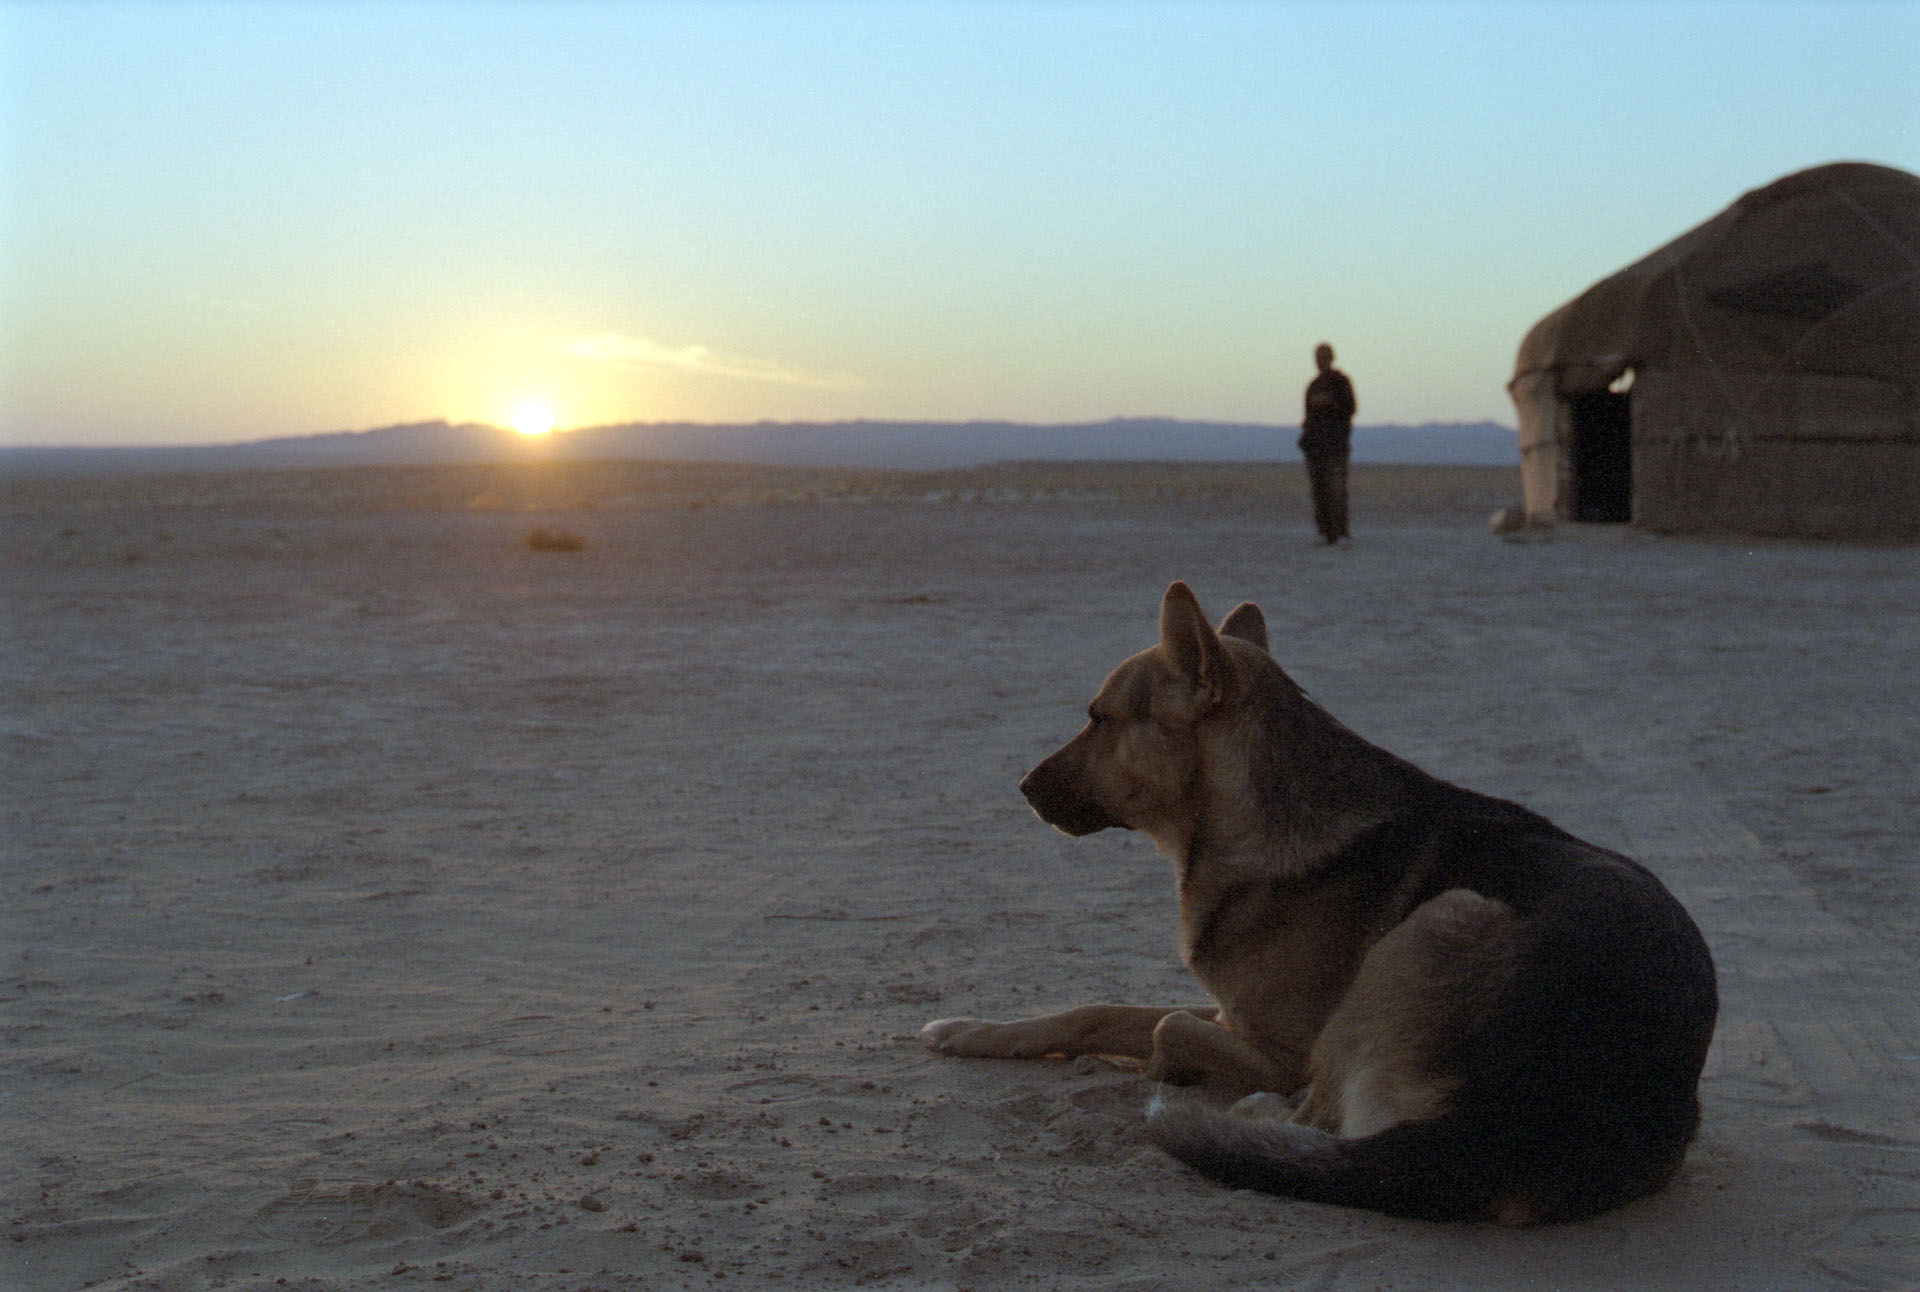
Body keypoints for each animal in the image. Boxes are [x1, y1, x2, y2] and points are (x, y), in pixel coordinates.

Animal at [921, 583, 1720, 1220]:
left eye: (1097, 718)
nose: (1022, 787)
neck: (1247, 815)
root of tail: (1496, 1133)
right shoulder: (1232, 1013)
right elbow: (1095, 1011)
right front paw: (976, 1030)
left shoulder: (1281, 1048)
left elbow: (1168, 1028)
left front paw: (1162, 1070)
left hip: (1442, 918)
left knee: (1320, 1113)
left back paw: (1251, 1115)